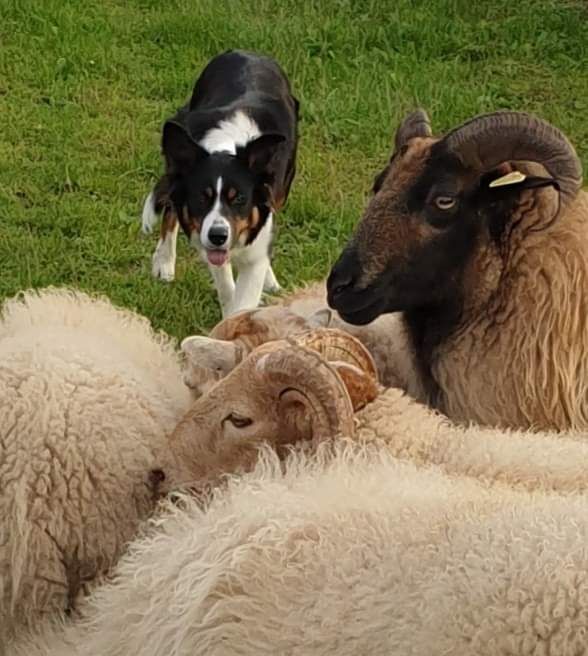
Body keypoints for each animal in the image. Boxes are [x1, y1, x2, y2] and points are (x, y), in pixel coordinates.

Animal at [141, 50, 299, 318]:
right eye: (201, 198)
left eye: (240, 198)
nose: (218, 236)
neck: (226, 148)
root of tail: (246, 51)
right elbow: (226, 288)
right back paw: (164, 261)